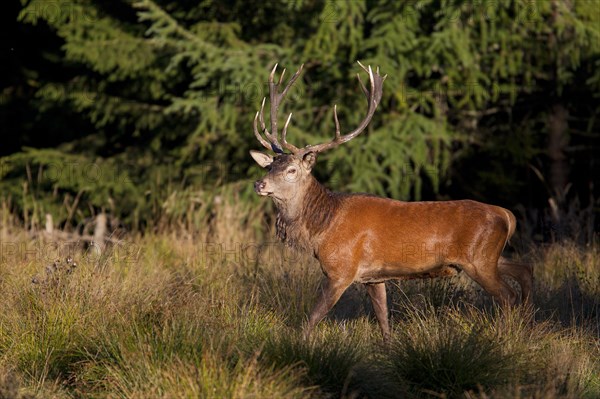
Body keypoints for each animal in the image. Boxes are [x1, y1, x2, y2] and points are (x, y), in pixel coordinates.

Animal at [248, 61, 536, 340]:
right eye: (269, 167)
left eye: (291, 170)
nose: (259, 184)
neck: (322, 229)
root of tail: (506, 215)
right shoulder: (373, 278)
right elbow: (384, 322)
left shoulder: (341, 271)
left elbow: (312, 318)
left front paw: (300, 347)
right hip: (490, 256)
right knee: (525, 269)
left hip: (479, 259)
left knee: (507, 296)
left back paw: (506, 335)